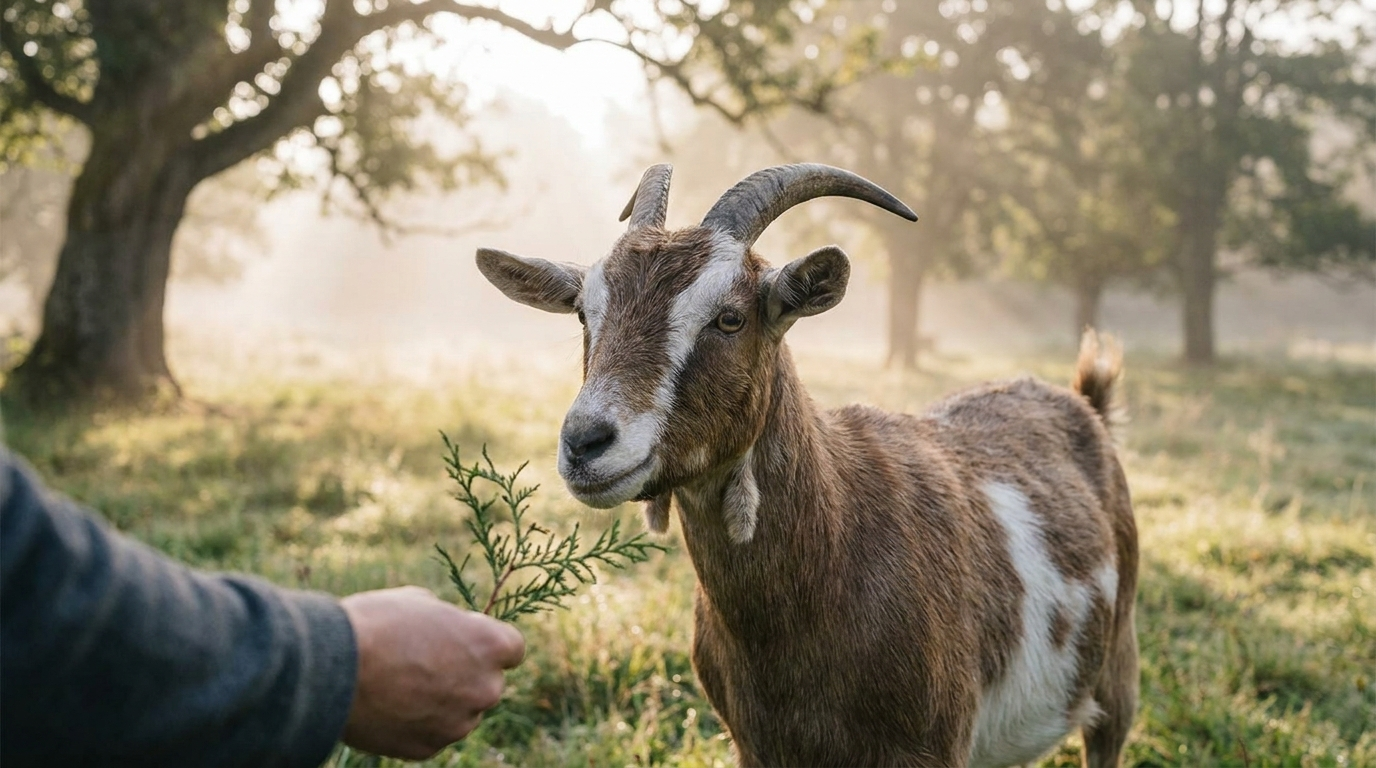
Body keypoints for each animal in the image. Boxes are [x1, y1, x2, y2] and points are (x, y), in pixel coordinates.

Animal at [476, 164, 1139, 768]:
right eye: (584, 314)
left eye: (730, 317)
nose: (585, 442)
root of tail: (1085, 403)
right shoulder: (756, 745)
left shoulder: (933, 745)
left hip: (1117, 670)